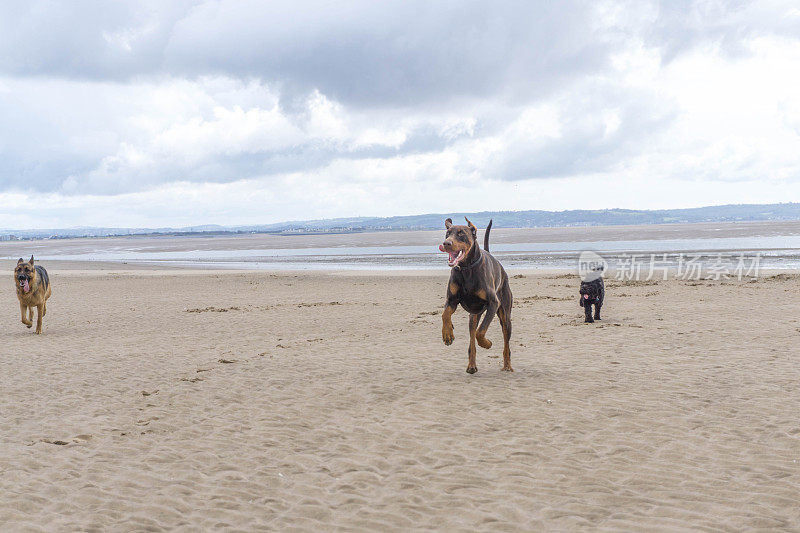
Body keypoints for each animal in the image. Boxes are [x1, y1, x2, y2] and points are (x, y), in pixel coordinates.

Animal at [438, 218, 512, 372]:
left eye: (461, 233)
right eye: (448, 233)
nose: (446, 243)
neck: (466, 268)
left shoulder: (493, 303)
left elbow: (481, 331)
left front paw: (487, 343)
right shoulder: (452, 300)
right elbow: (445, 314)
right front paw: (447, 334)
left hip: (505, 316)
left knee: (506, 344)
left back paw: (507, 365)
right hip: (473, 316)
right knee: (472, 340)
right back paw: (471, 365)